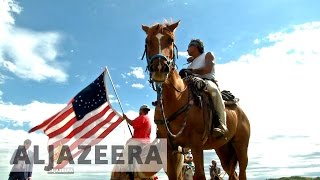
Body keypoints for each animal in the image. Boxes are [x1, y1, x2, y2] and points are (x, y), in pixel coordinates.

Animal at [142, 20, 250, 179]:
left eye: (171, 40)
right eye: (148, 41)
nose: (160, 68)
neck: (176, 99)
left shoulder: (196, 146)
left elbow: (199, 175)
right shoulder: (169, 148)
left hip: (241, 146)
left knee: (242, 171)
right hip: (223, 149)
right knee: (233, 173)